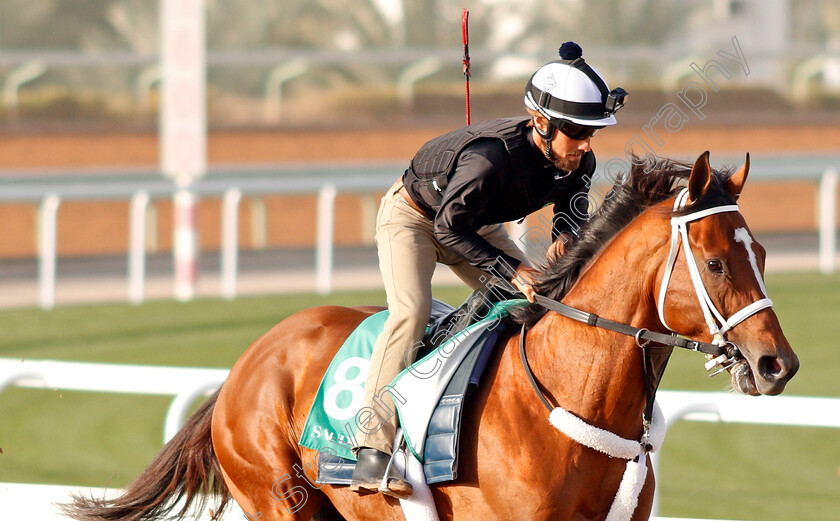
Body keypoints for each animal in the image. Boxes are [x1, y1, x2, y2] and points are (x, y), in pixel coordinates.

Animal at [65, 151, 800, 520]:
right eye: (715, 262)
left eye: (762, 252)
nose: (777, 364)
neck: (567, 396)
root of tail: (247, 363)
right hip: (278, 500)